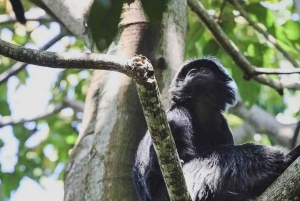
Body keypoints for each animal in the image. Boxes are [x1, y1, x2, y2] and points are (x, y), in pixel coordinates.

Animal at [132, 57, 300, 201]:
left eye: (205, 70)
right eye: (192, 72)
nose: (197, 72)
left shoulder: (222, 124)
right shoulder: (176, 118)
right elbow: (161, 166)